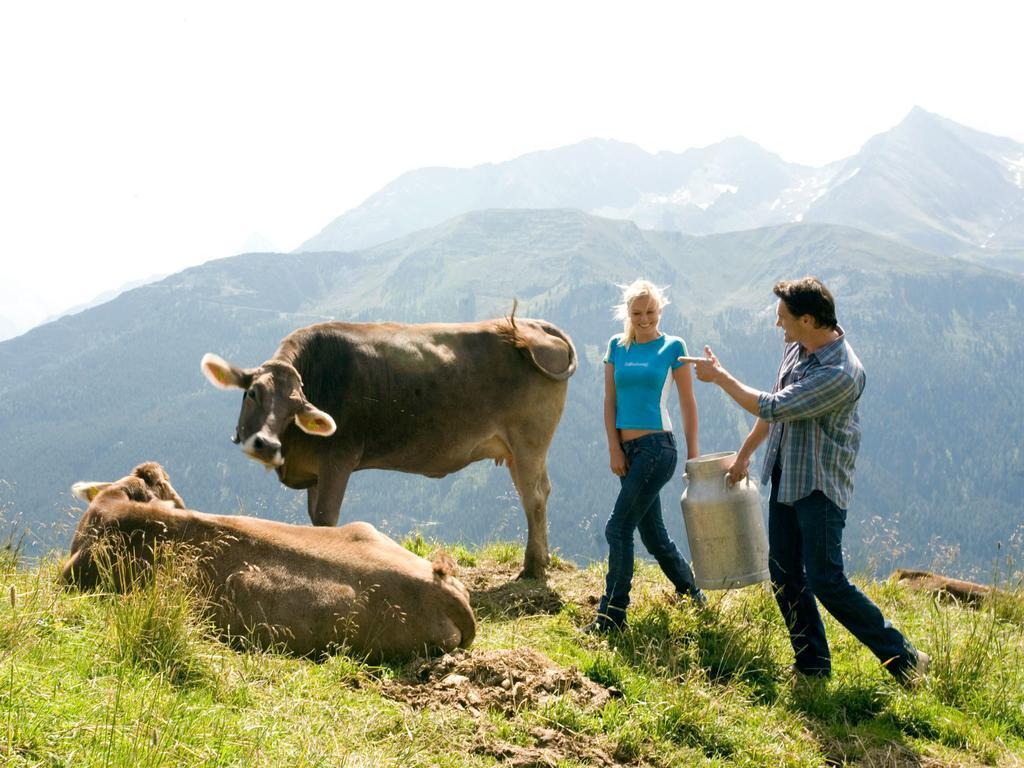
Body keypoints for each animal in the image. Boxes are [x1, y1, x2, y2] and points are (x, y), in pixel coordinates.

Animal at [199, 311, 577, 577]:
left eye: (295, 409)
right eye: (253, 393)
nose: (264, 444)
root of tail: (533, 325)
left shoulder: (339, 457)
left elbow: (325, 517)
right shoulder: (316, 468)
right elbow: (312, 516)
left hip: (529, 440)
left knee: (533, 496)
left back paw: (532, 567)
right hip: (520, 448)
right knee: (540, 491)